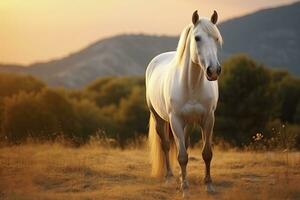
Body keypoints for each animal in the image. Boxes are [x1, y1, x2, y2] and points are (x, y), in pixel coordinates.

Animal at [145, 10, 223, 196]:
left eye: (217, 38)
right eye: (197, 38)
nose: (213, 71)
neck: (191, 84)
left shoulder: (208, 119)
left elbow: (206, 153)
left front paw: (209, 185)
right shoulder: (176, 121)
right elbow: (181, 156)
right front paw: (185, 189)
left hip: (188, 124)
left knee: (185, 145)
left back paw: (180, 177)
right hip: (159, 119)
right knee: (166, 146)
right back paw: (169, 177)